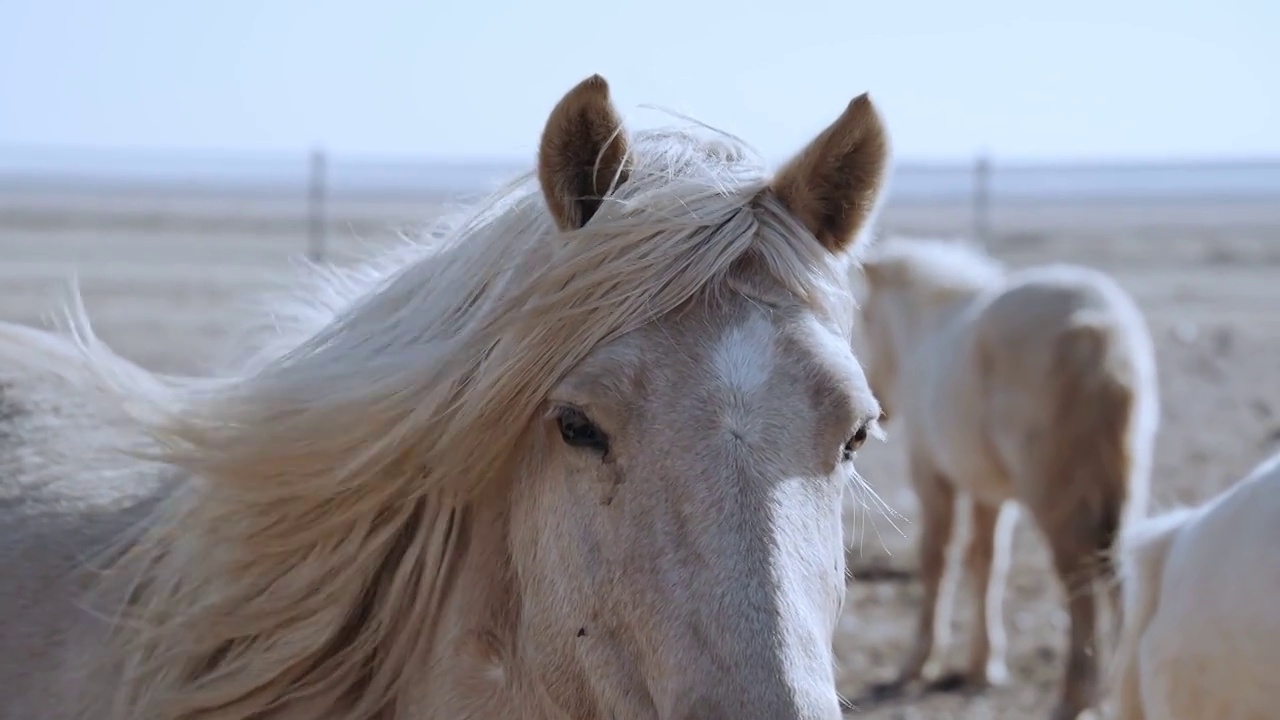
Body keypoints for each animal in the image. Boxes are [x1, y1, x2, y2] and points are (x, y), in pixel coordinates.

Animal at [849, 237, 1162, 717]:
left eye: (865, 317)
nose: (878, 407)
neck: (930, 327)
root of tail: (1100, 331)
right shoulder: (989, 492)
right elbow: (987, 561)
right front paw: (982, 665)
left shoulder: (930, 470)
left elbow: (937, 557)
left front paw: (919, 662)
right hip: (1122, 486)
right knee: (1117, 568)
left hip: (1054, 492)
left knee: (1079, 576)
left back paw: (1075, 695)